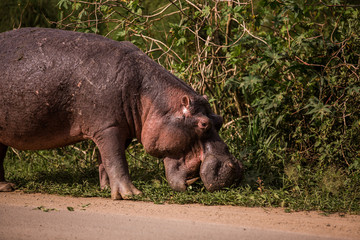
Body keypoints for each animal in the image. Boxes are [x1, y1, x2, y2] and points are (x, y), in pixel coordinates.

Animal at [0, 27, 243, 199]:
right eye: (203, 124)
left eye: (219, 120)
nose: (235, 168)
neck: (150, 96)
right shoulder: (108, 127)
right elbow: (117, 161)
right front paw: (131, 195)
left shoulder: (121, 130)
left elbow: (106, 161)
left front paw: (106, 189)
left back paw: (7, 187)